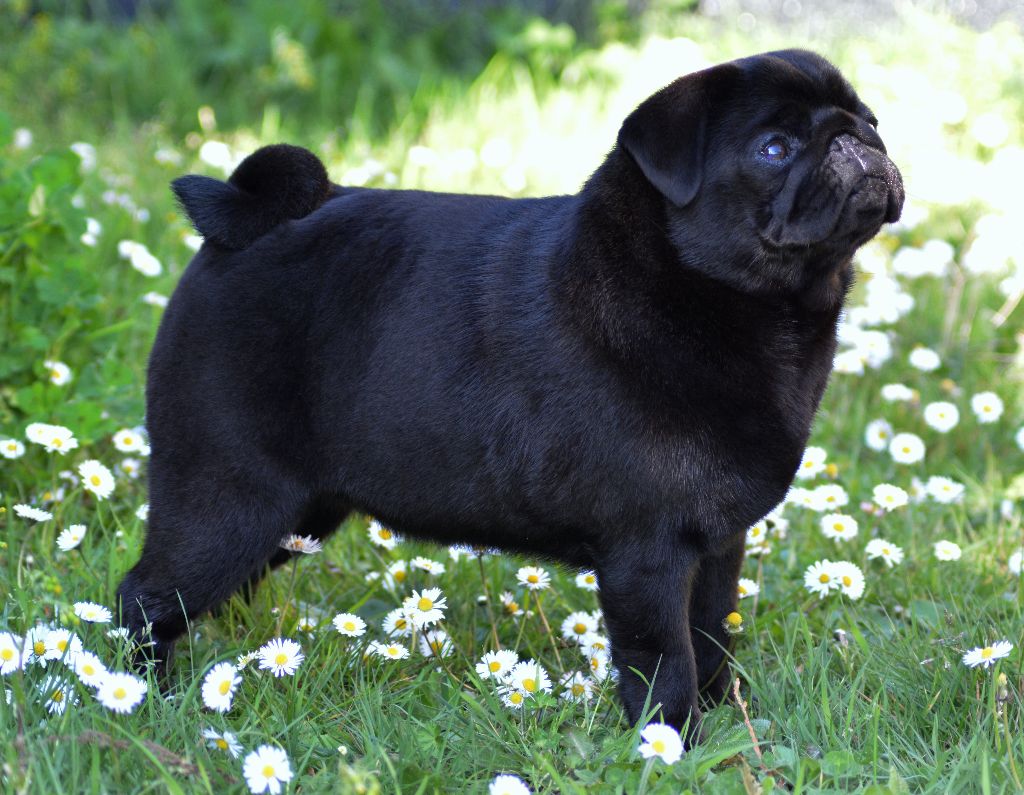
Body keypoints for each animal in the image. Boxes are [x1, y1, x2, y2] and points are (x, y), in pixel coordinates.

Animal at [117, 49, 905, 741]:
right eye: (776, 147)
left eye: (870, 118)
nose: (855, 137)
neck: (738, 302)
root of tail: (244, 228)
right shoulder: (646, 553)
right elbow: (665, 660)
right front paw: (674, 741)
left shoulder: (716, 544)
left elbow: (711, 636)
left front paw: (729, 723)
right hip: (230, 498)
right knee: (146, 595)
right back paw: (139, 695)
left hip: (298, 512)